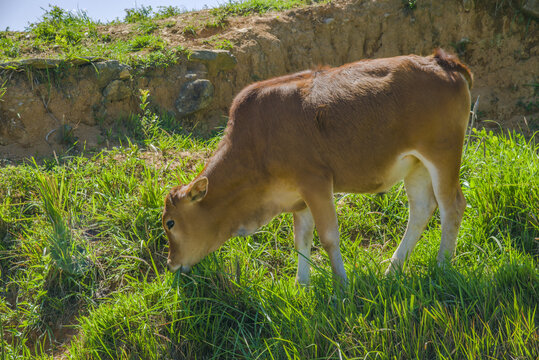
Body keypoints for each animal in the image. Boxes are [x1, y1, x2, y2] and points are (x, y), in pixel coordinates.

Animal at [163, 49, 472, 286]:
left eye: (170, 222)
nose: (170, 263)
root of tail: (441, 61)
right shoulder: (298, 197)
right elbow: (301, 240)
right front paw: (301, 285)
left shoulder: (316, 182)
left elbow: (328, 237)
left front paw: (342, 285)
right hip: (415, 165)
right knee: (421, 209)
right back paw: (391, 270)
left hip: (442, 153)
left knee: (452, 205)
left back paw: (442, 266)